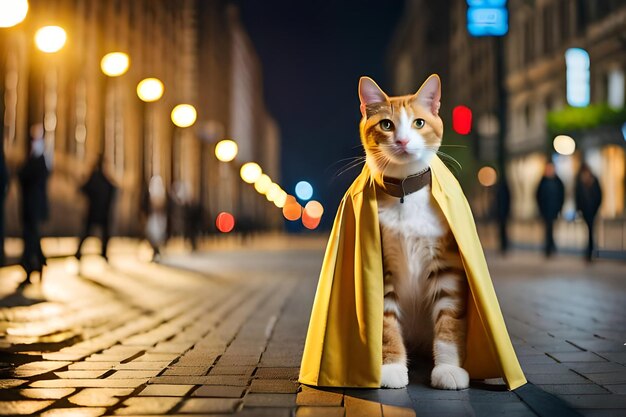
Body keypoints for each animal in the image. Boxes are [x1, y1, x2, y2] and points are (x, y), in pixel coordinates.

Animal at [356, 75, 468, 390]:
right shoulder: (382, 265)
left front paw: (448, 368)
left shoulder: (447, 263)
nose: (403, 141)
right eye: (386, 125)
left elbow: (448, 319)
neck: (405, 193)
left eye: (419, 123)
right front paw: (392, 367)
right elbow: (386, 322)